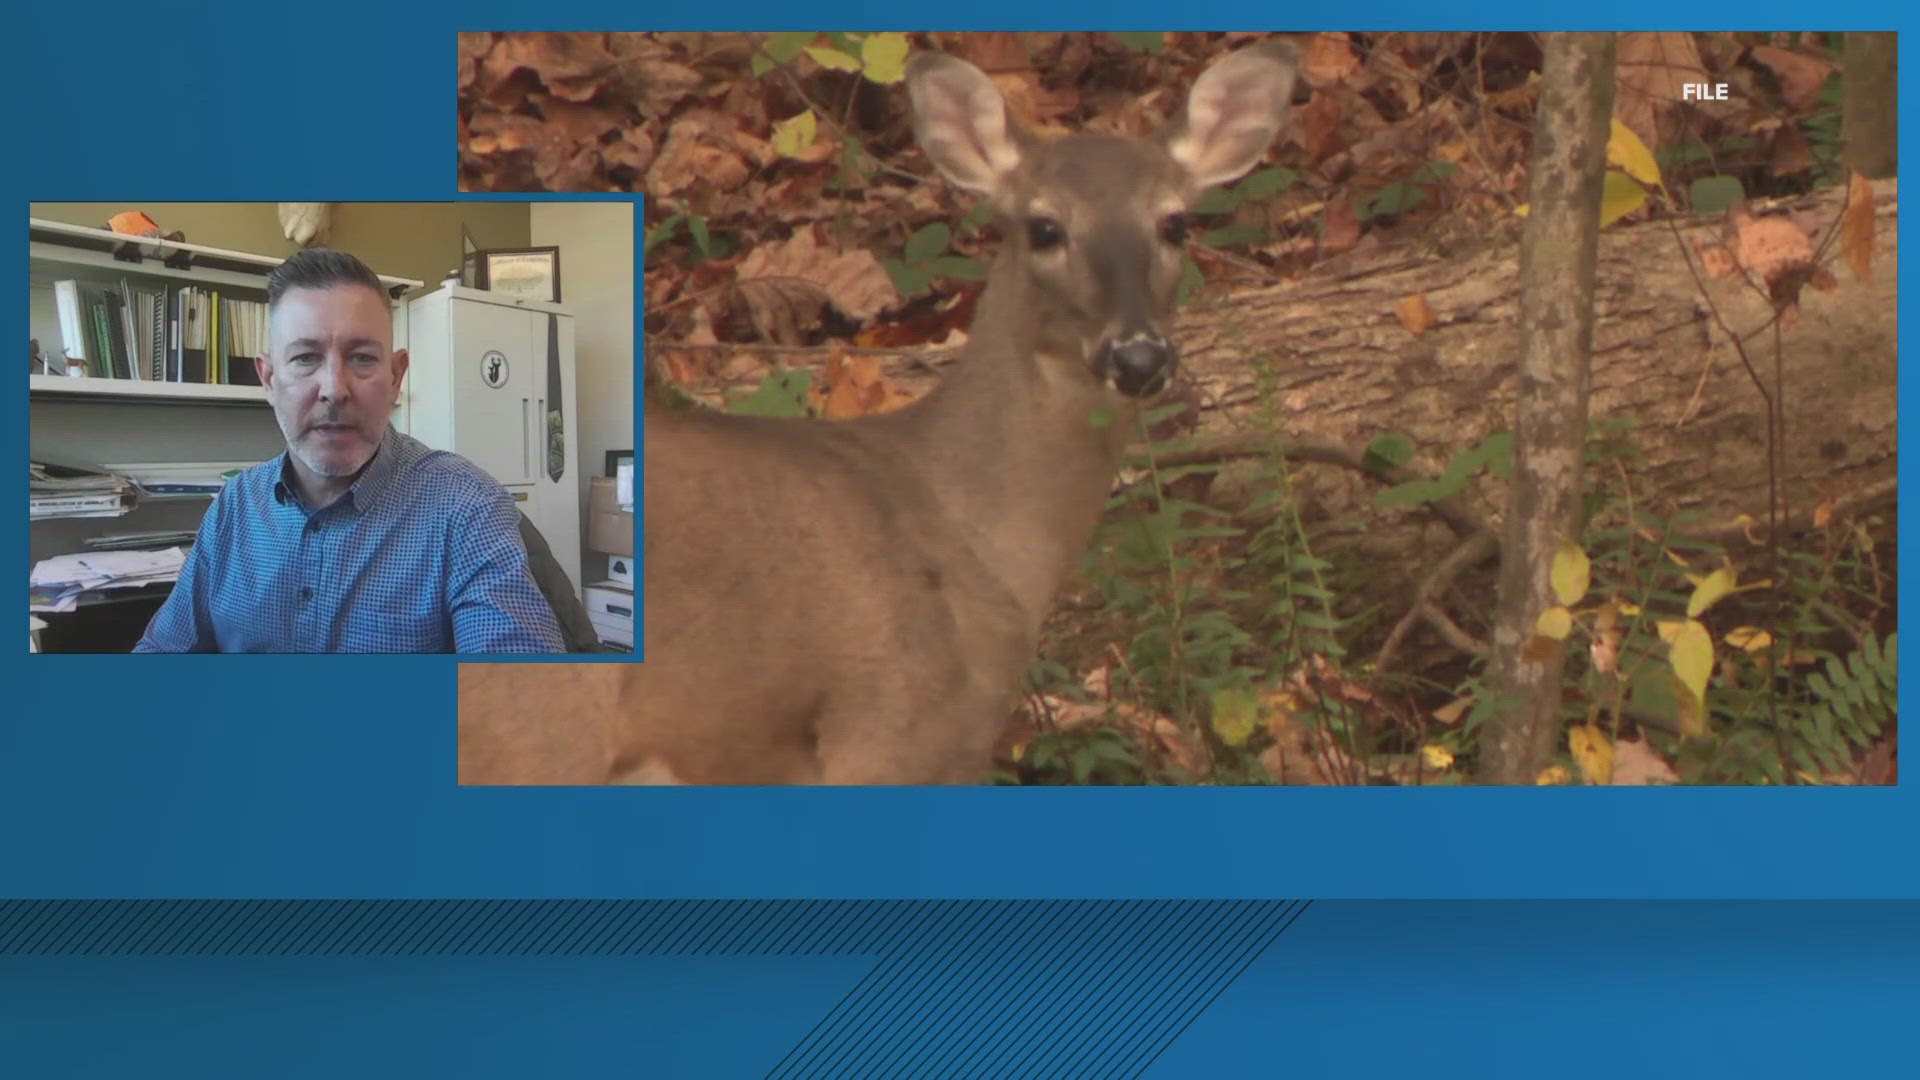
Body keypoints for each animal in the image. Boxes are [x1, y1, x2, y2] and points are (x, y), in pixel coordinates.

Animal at [458, 40, 1300, 785]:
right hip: (538, 734)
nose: (1139, 357)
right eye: (1045, 226)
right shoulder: (891, 726)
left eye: (1176, 223)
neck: (978, 535)